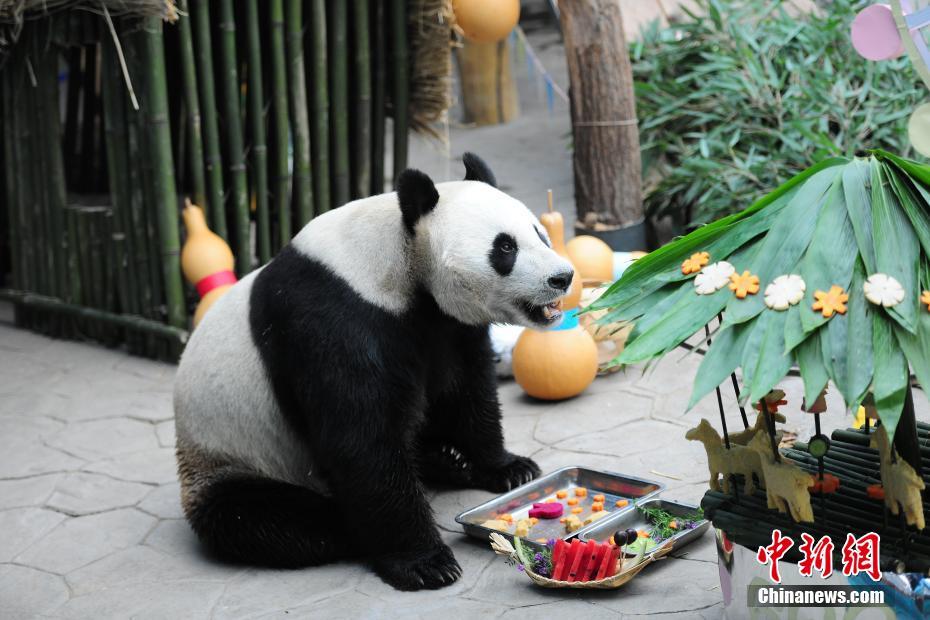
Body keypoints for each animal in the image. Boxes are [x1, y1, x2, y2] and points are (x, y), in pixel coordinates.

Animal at [170, 154, 568, 592]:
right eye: (505, 247)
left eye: (540, 234)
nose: (562, 277)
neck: (399, 260)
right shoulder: (335, 319)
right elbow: (362, 439)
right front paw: (426, 563)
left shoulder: (443, 325)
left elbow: (467, 388)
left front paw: (508, 468)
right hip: (233, 455)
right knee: (267, 518)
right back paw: (351, 527)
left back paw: (448, 459)